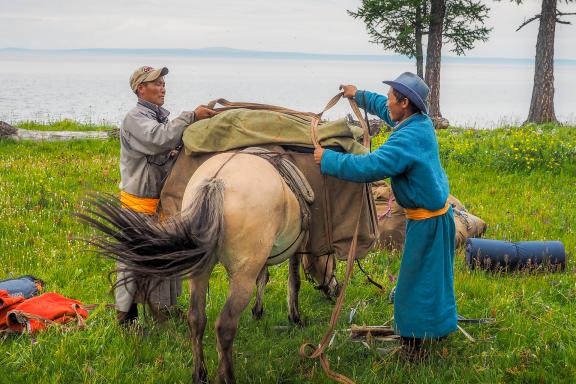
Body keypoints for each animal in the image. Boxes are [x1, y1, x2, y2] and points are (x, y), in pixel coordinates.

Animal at [82, 152, 328, 382]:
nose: (333, 290)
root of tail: (216, 181)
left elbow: (265, 276)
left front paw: (258, 311)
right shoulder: (293, 249)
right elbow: (293, 280)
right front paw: (294, 317)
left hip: (200, 272)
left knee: (196, 319)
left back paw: (200, 374)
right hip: (241, 277)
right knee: (224, 326)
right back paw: (226, 377)